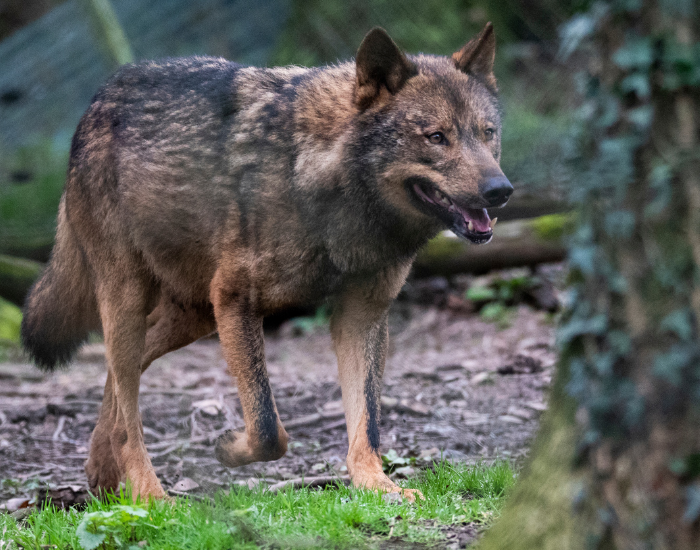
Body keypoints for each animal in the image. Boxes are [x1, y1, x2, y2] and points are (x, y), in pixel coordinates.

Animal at [21, 23, 512, 501]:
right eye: (437, 137)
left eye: (487, 133)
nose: (501, 190)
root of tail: (100, 97)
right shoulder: (236, 300)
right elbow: (268, 428)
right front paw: (228, 448)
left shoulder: (362, 314)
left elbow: (366, 422)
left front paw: (377, 486)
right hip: (132, 300)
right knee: (128, 409)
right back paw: (150, 497)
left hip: (193, 316)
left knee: (119, 379)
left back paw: (102, 472)